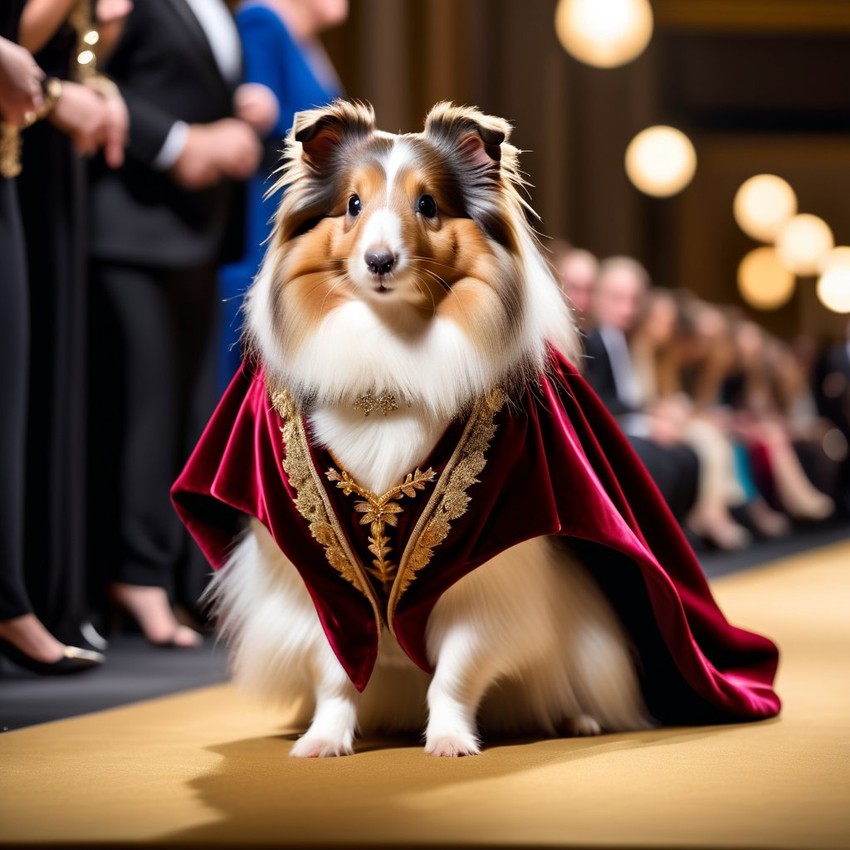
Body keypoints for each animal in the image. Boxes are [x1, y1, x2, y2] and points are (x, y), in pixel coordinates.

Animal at [197, 99, 648, 756]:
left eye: (427, 205)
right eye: (353, 204)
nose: (380, 261)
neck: (389, 355)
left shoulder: (482, 580)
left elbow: (455, 673)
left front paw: (450, 740)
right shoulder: (324, 586)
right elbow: (335, 673)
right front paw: (323, 741)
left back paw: (576, 719)